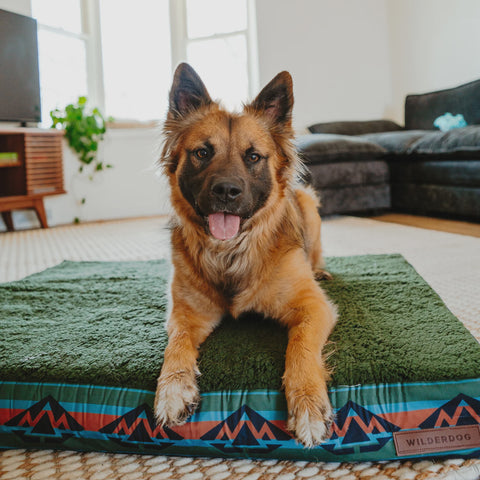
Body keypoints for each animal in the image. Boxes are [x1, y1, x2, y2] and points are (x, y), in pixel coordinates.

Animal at [155, 63, 338, 446]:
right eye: (202, 153)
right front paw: (173, 388)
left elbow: (300, 347)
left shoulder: (314, 307)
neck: (231, 251)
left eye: (253, 157)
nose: (226, 191)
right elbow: (175, 345)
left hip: (309, 203)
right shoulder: (185, 314)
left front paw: (308, 403)